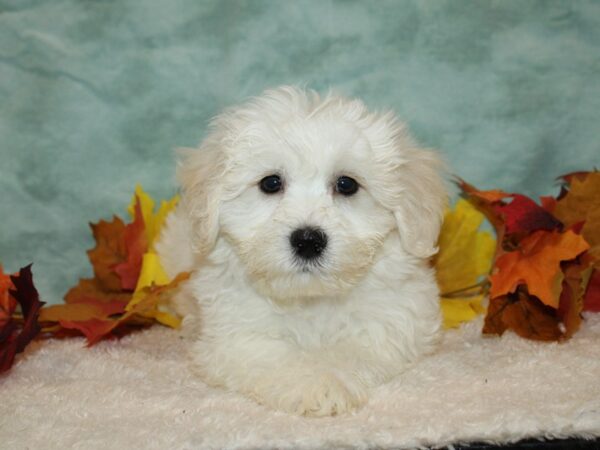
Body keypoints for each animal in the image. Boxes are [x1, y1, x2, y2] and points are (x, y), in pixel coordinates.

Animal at [157, 86, 448, 416]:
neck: (310, 298)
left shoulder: (393, 319)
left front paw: (328, 376)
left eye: (347, 184)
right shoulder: (236, 334)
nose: (308, 241)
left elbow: (350, 347)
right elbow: (274, 355)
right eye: (271, 183)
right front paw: (313, 383)